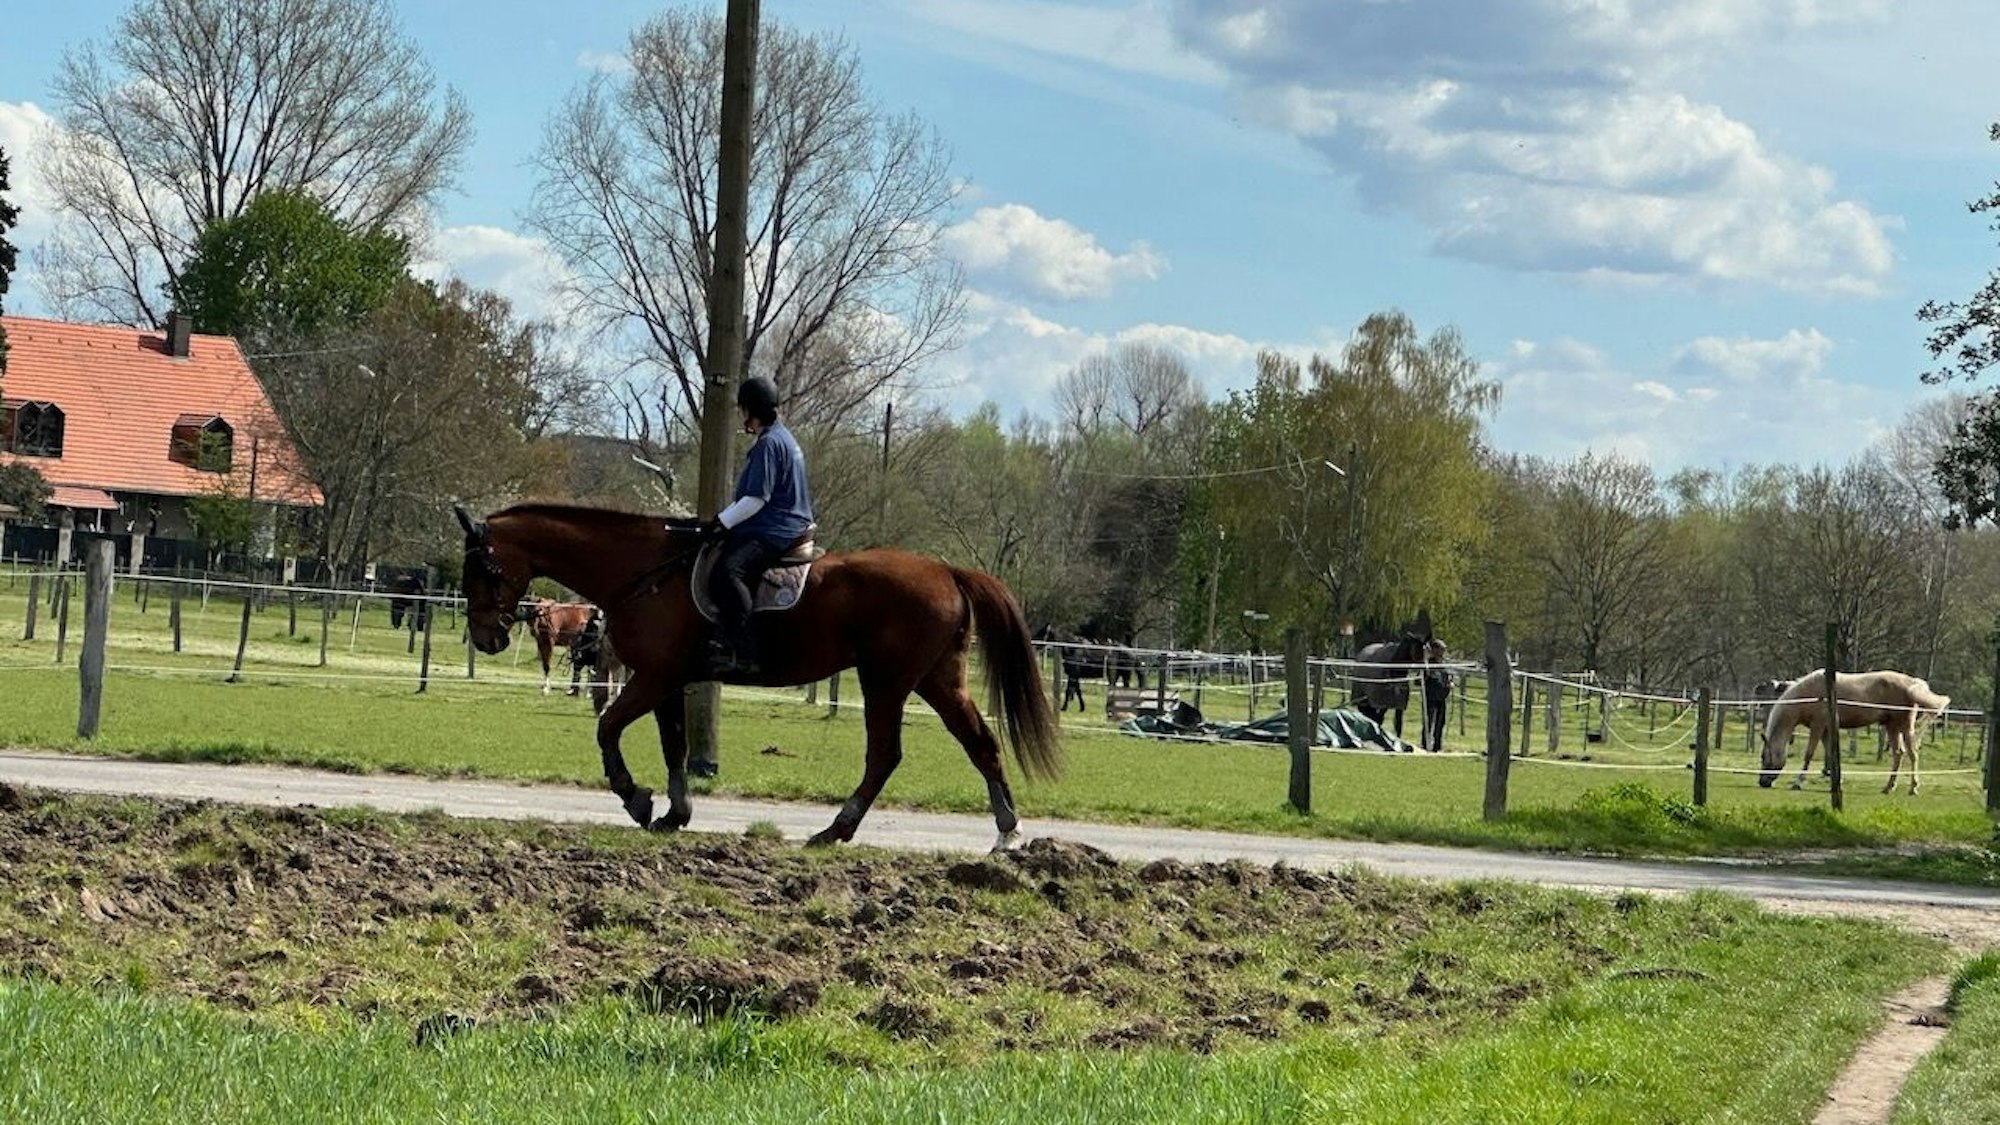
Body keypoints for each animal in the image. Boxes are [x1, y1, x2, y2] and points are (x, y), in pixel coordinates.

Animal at [455, 503, 1062, 850]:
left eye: (482, 566)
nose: (486, 637)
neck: (646, 571)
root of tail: (946, 571)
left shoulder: (651, 677)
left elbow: (607, 728)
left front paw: (635, 798)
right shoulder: (667, 680)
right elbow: (674, 746)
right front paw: (675, 813)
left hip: (887, 682)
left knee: (885, 755)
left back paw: (836, 830)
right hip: (936, 680)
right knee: (979, 743)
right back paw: (1006, 832)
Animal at [1349, 610, 1435, 740]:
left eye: (1429, 651)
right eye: (1418, 650)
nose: (1427, 672)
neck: (1394, 674)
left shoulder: (1399, 706)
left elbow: (1398, 725)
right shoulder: (1382, 704)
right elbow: (1378, 719)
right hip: (1364, 700)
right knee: (1370, 715)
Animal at [1759, 670, 1950, 794]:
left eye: (1763, 757)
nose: (1762, 782)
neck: (1811, 693)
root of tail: (1914, 683)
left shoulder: (1818, 726)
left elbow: (1809, 755)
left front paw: (1798, 783)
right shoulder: (1827, 730)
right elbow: (1830, 755)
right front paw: (1836, 781)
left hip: (1904, 726)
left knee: (1912, 754)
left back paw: (1913, 788)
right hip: (1892, 726)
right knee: (1898, 753)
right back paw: (1888, 787)